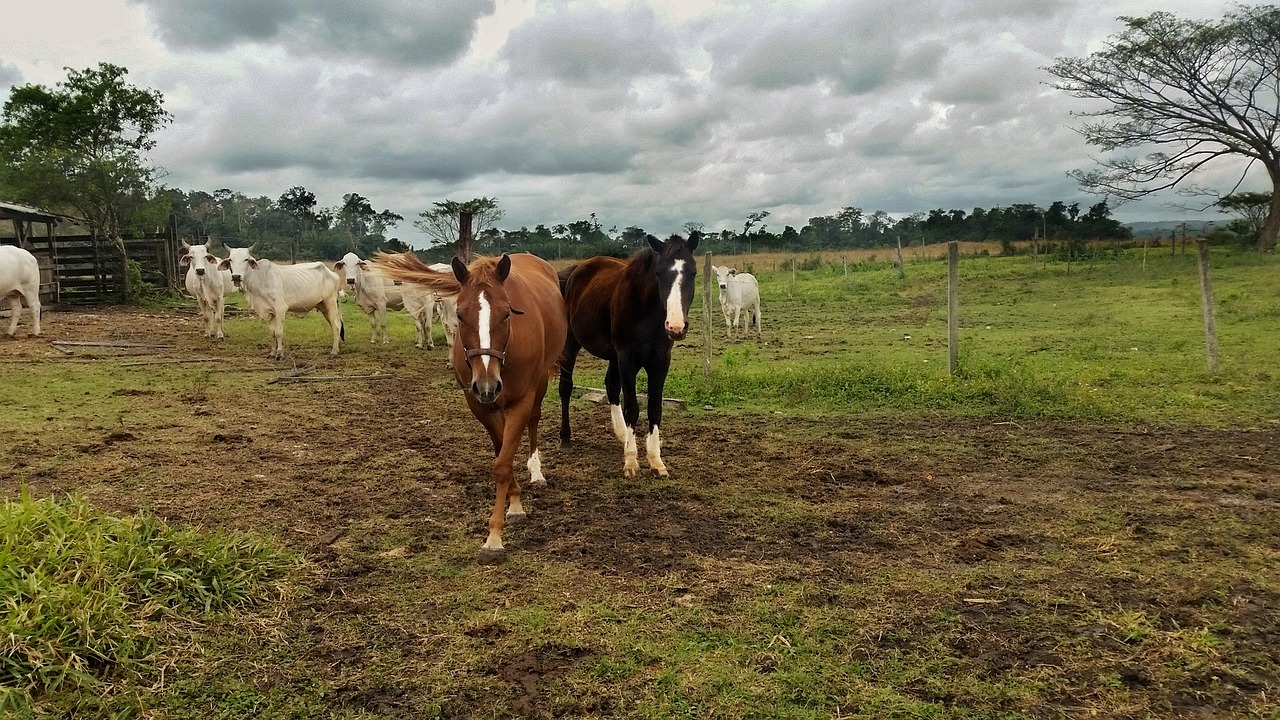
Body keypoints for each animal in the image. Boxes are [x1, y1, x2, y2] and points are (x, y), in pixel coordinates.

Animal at [373, 251, 568, 561]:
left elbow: (503, 463)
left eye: (507, 313)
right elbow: (501, 455)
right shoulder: (479, 405)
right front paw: (513, 502)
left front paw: (495, 536)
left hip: (539, 383)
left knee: (534, 421)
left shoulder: (521, 401)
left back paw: (536, 470)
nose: (487, 384)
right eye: (461, 315)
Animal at [558, 233, 701, 474]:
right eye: (659, 273)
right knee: (566, 388)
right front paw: (632, 461)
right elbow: (632, 408)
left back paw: (623, 435)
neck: (647, 313)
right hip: (571, 345)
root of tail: (573, 271)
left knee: (611, 386)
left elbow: (654, 409)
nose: (676, 327)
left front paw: (656, 461)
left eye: (693, 273)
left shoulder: (660, 363)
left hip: (613, 356)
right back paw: (565, 440)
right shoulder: (627, 360)